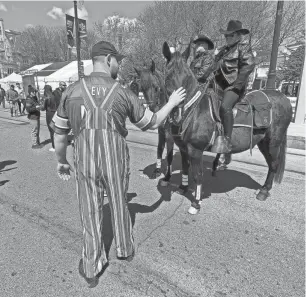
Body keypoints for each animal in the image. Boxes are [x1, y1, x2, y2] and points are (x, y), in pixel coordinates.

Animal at [140, 41, 292, 213]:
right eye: (168, 77)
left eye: (187, 78)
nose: (176, 111)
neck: (193, 111)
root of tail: (283, 98)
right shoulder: (184, 148)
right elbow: (184, 167)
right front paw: (182, 187)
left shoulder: (195, 150)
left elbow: (198, 175)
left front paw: (196, 203)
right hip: (263, 142)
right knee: (271, 163)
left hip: (273, 142)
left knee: (274, 164)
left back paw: (264, 191)